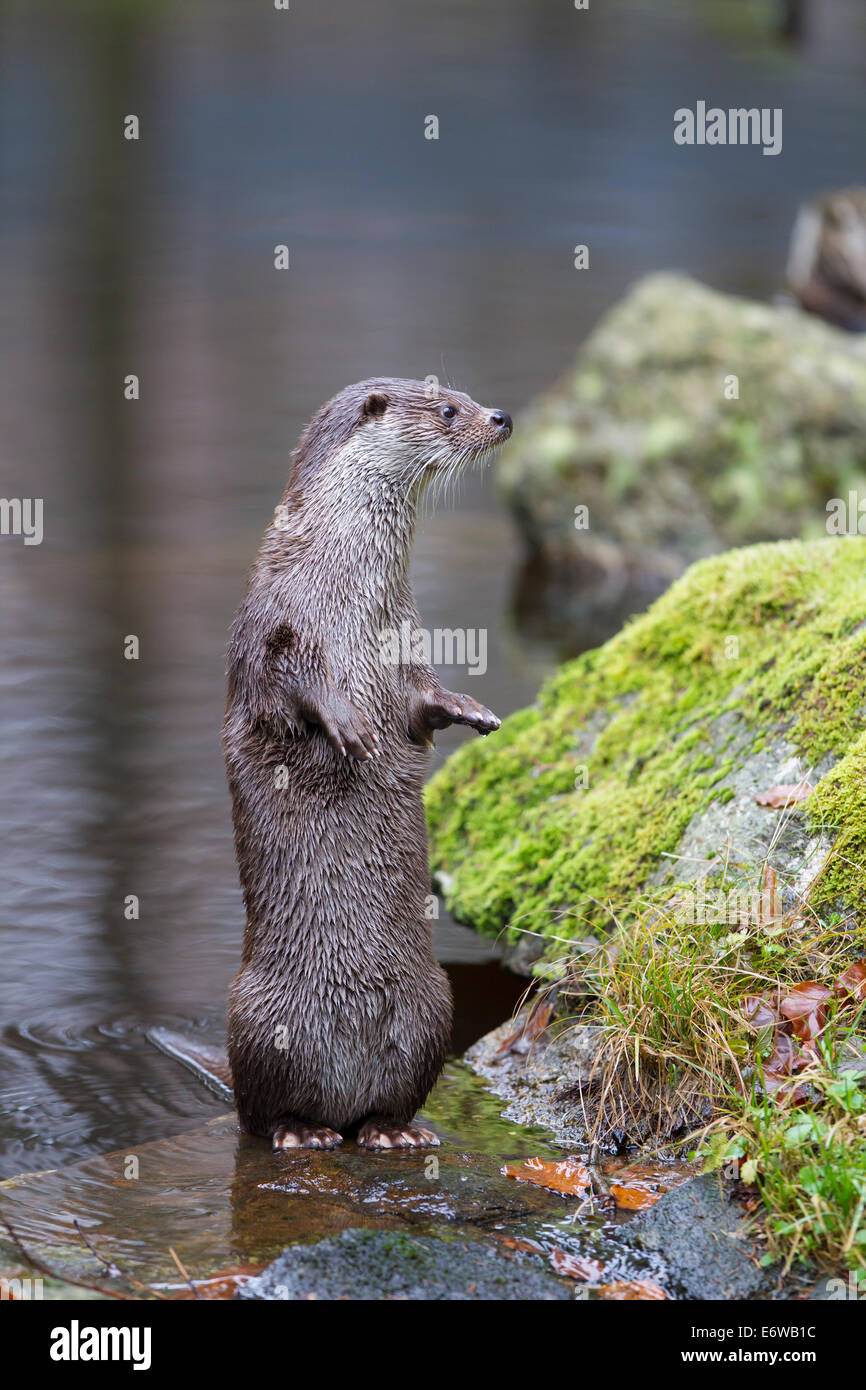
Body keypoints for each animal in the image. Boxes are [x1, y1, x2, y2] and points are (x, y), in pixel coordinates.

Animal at [223, 378, 511, 1150]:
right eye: (447, 408)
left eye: (465, 395)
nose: (500, 416)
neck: (347, 594)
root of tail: (340, 1095)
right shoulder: (273, 623)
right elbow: (287, 684)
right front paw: (347, 724)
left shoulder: (406, 640)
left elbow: (422, 701)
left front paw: (472, 711)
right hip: (252, 1016)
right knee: (258, 1111)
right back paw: (300, 1133)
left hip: (433, 1005)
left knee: (393, 1097)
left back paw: (392, 1131)